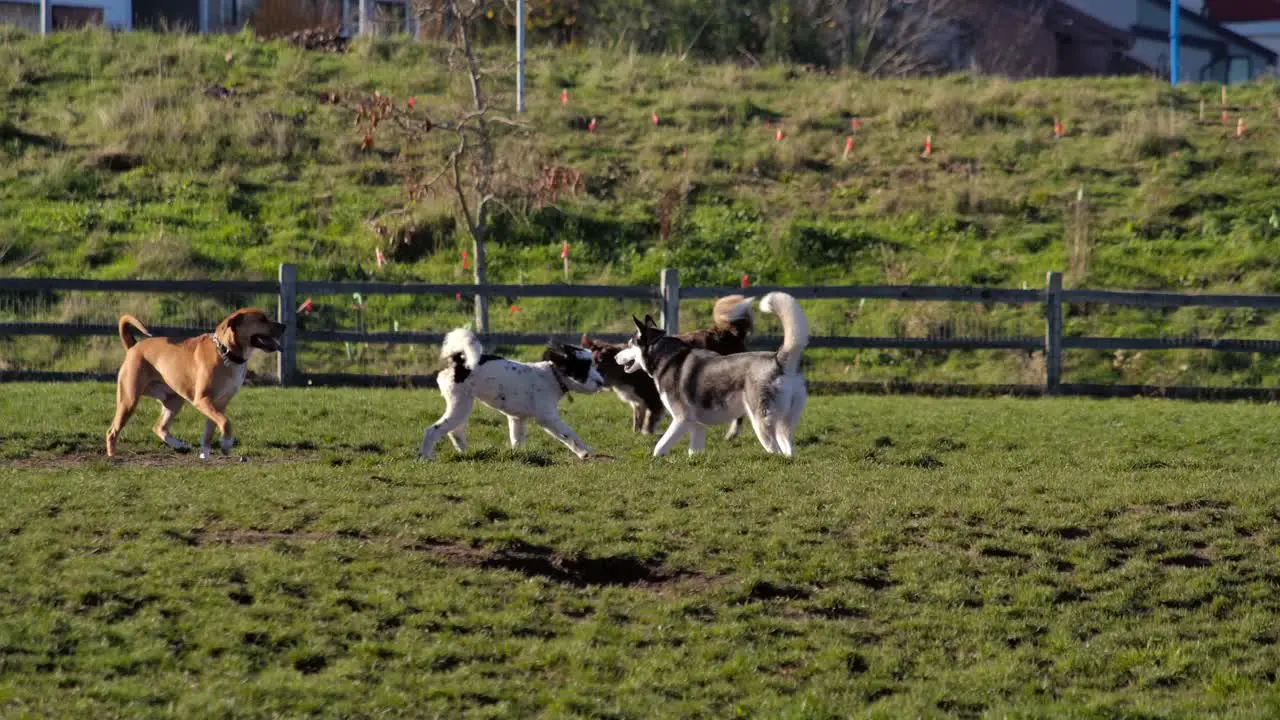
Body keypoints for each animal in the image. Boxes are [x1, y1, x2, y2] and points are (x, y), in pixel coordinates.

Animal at [105, 304, 288, 456]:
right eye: (261, 319)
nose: (284, 326)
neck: (226, 352)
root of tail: (133, 347)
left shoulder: (219, 404)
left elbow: (211, 430)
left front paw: (205, 454)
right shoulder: (203, 400)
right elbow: (226, 422)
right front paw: (226, 443)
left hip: (174, 401)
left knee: (159, 427)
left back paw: (180, 446)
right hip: (129, 400)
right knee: (112, 431)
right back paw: (113, 455)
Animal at [581, 293, 747, 438]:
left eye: (601, 360)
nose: (616, 357)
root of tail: (729, 333)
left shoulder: (654, 400)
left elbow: (648, 424)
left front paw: (648, 434)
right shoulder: (638, 403)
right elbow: (637, 421)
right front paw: (636, 433)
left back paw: (732, 433)